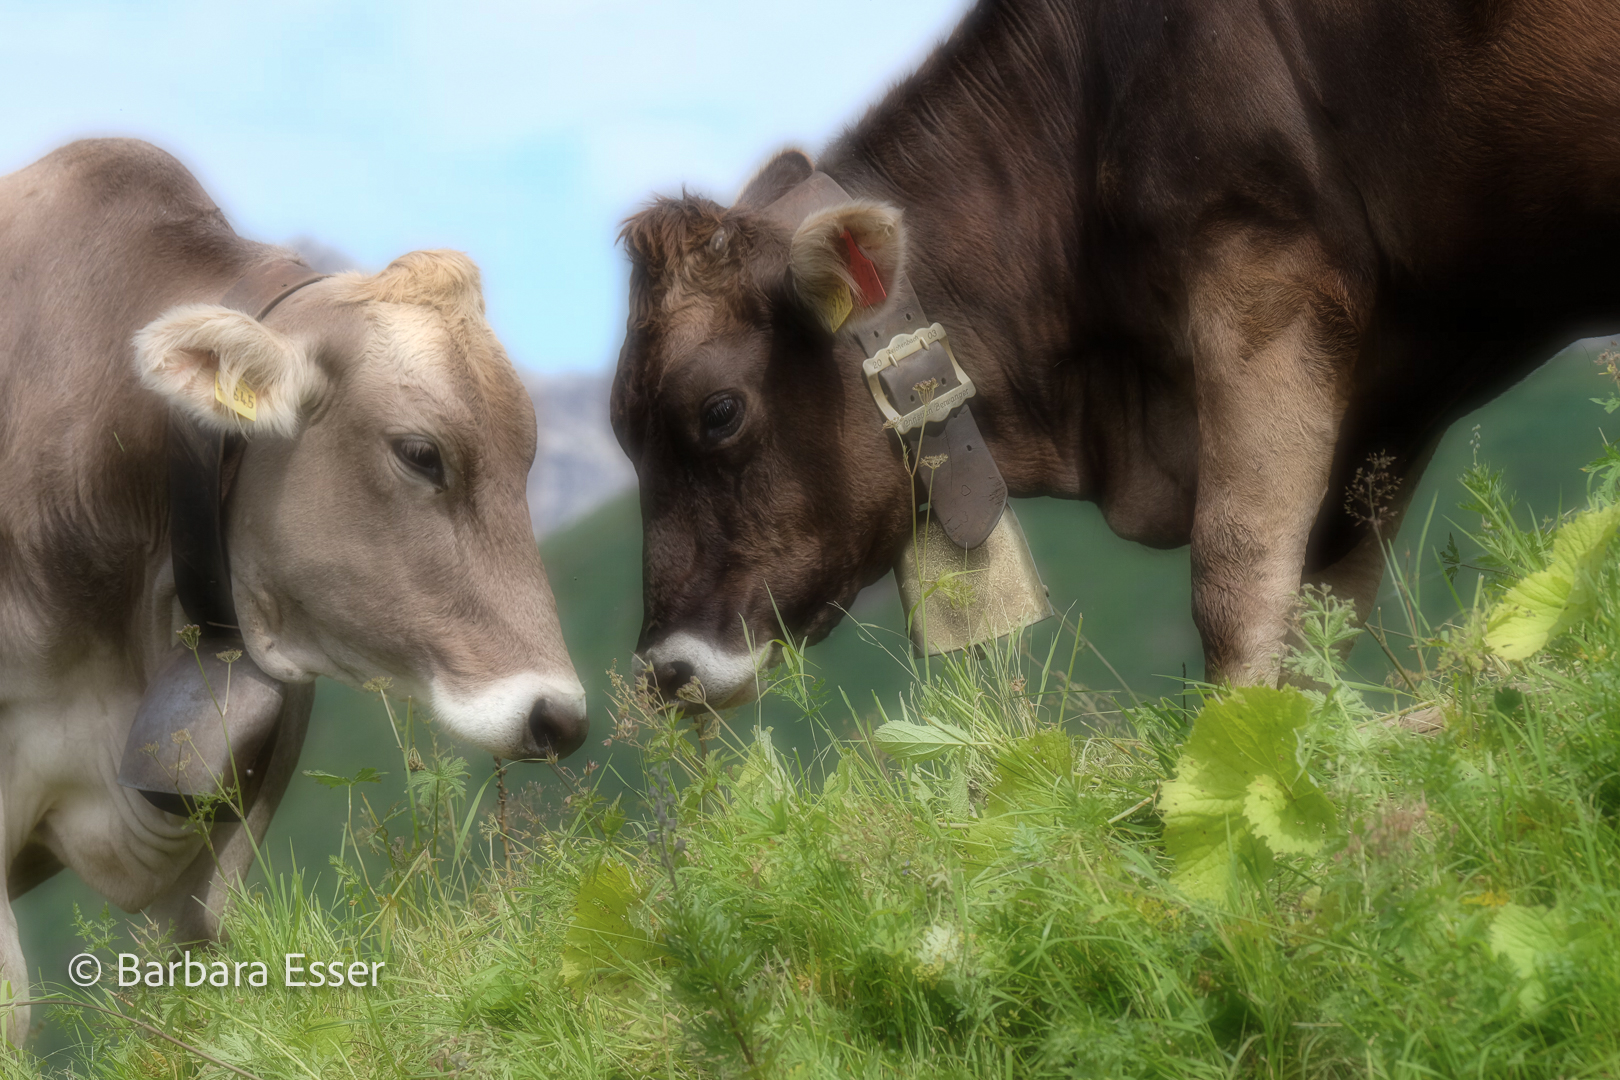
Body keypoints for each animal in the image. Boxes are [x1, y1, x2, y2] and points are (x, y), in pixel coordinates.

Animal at [612, 0, 1620, 702]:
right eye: (623, 432)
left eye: (718, 412)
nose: (667, 667)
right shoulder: (1381, 408)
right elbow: (1315, 616)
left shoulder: (1266, 275)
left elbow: (1236, 574)